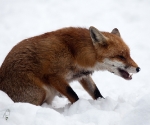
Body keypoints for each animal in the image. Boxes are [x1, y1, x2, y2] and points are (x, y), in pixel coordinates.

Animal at [0, 26, 141, 105]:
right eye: (121, 56)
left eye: (129, 54)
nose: (138, 69)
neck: (74, 53)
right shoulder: (54, 76)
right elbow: (73, 95)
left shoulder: (82, 75)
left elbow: (95, 91)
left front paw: (102, 103)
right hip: (41, 91)